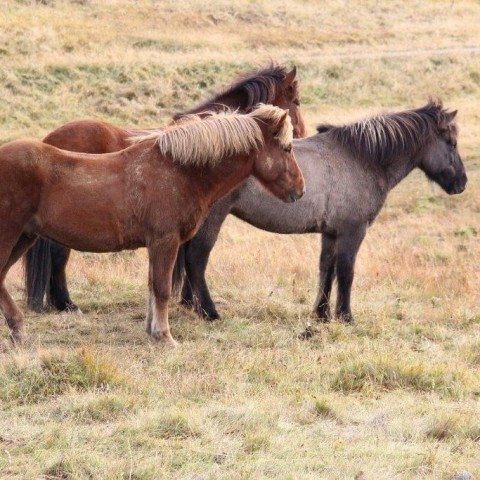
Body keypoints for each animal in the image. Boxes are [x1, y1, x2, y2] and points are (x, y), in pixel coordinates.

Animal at [0, 105, 304, 344]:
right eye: (287, 148)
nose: (300, 190)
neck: (179, 171)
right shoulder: (164, 241)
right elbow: (162, 288)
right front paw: (164, 336)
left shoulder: (155, 245)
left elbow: (151, 286)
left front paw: (152, 330)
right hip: (11, 236)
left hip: (24, 238)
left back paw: (18, 331)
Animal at [24, 64, 306, 312]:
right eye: (297, 101)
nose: (301, 133)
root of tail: (49, 141)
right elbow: (195, 257)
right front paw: (199, 304)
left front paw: (188, 301)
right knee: (59, 257)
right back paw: (66, 304)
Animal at [173, 99, 468, 320]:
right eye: (451, 143)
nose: (462, 183)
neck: (362, 158)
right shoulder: (352, 232)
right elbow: (346, 272)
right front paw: (345, 316)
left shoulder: (331, 233)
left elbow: (327, 269)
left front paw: (322, 313)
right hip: (212, 220)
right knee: (196, 259)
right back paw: (209, 311)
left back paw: (191, 306)